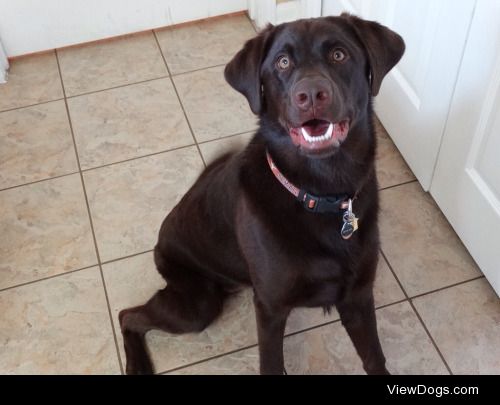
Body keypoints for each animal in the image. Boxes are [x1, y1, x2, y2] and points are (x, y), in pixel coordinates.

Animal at [119, 14, 404, 374]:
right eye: (282, 62)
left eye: (339, 54)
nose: (311, 94)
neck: (321, 191)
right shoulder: (270, 308)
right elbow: (271, 362)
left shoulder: (358, 295)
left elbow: (374, 357)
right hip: (196, 305)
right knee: (127, 315)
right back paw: (137, 363)